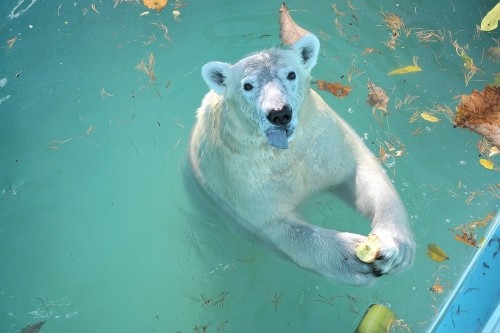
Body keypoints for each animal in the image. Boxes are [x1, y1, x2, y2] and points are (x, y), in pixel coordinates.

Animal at [189, 33, 416, 284]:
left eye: (291, 74)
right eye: (247, 85)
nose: (279, 113)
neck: (285, 153)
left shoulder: (322, 142)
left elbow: (360, 172)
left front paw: (394, 247)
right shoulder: (238, 178)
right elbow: (277, 227)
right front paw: (351, 258)